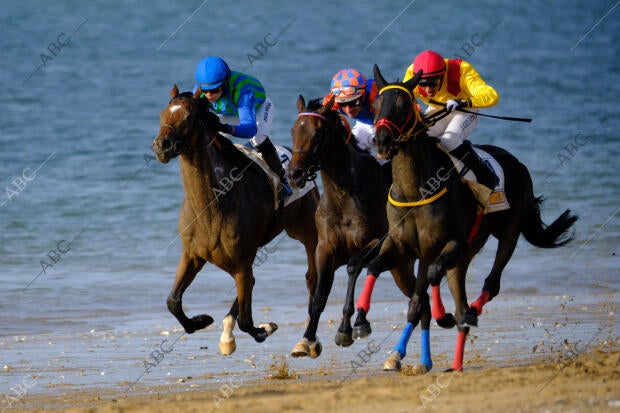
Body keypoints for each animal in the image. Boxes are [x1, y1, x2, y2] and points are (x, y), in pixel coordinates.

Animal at [151, 84, 320, 354]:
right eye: (161, 114)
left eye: (189, 117)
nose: (162, 145)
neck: (211, 207)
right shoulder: (192, 255)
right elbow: (173, 301)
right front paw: (201, 321)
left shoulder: (241, 263)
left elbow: (247, 320)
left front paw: (264, 329)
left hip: (306, 231)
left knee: (311, 276)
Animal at [286, 93, 432, 366]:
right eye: (293, 131)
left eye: (318, 133)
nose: (294, 174)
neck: (344, 196)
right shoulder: (325, 249)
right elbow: (319, 295)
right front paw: (307, 340)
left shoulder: (377, 241)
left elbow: (354, 266)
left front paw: (349, 328)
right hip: (400, 268)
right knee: (421, 302)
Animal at [360, 67, 580, 370]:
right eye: (377, 104)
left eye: (404, 105)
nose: (381, 141)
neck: (416, 190)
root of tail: (518, 163)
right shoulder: (405, 246)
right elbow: (379, 271)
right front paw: (360, 324)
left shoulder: (448, 244)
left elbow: (428, 283)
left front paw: (441, 318)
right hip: (464, 254)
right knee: (455, 298)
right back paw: (454, 360)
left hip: (507, 234)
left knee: (490, 284)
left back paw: (469, 315)